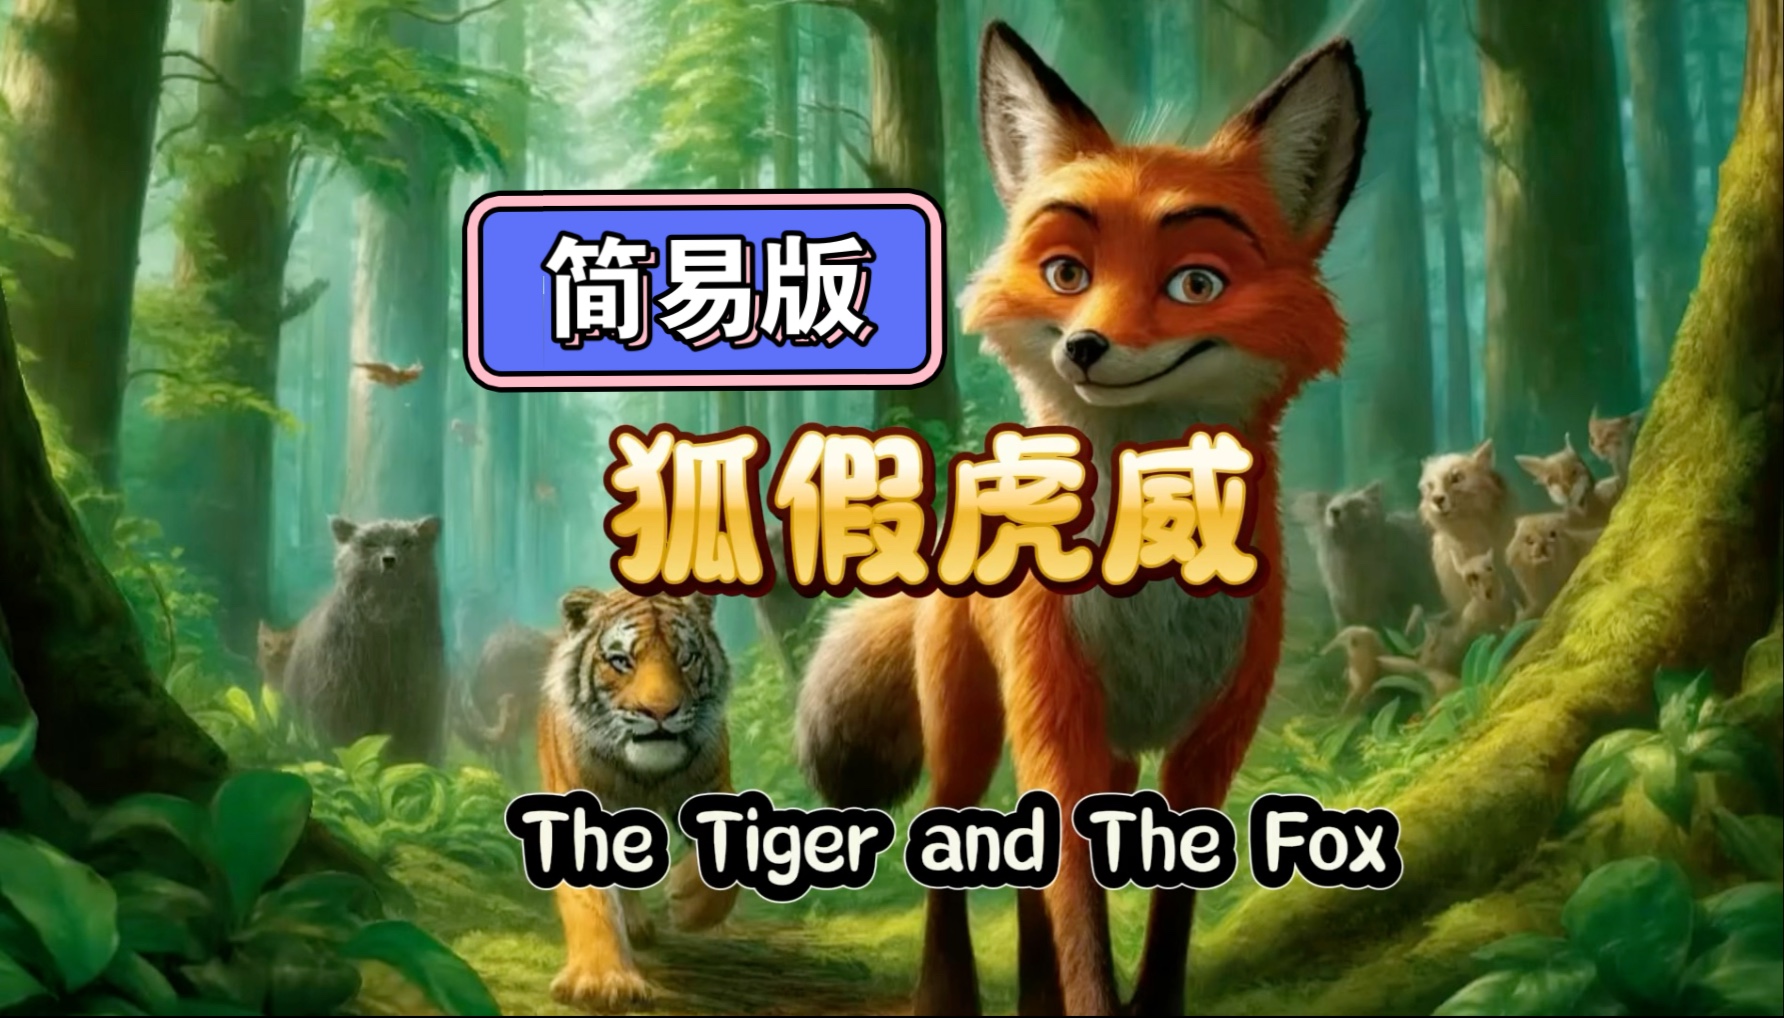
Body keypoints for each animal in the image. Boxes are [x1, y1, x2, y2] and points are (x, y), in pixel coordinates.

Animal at [536, 585, 740, 1013]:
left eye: (686, 658)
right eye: (621, 661)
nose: (660, 711)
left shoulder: (712, 784)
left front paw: (685, 903)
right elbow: (591, 901)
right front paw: (601, 982)